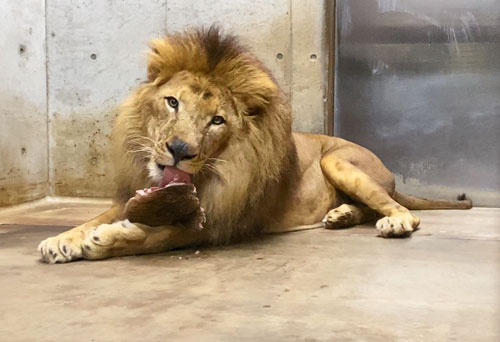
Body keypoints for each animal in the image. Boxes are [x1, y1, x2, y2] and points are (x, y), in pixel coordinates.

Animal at [37, 27, 470, 264]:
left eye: (217, 121)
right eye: (173, 102)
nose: (179, 150)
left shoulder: (218, 225)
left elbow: (153, 237)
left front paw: (105, 240)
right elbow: (97, 216)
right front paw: (62, 239)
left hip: (338, 162)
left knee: (399, 210)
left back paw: (392, 221)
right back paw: (341, 214)